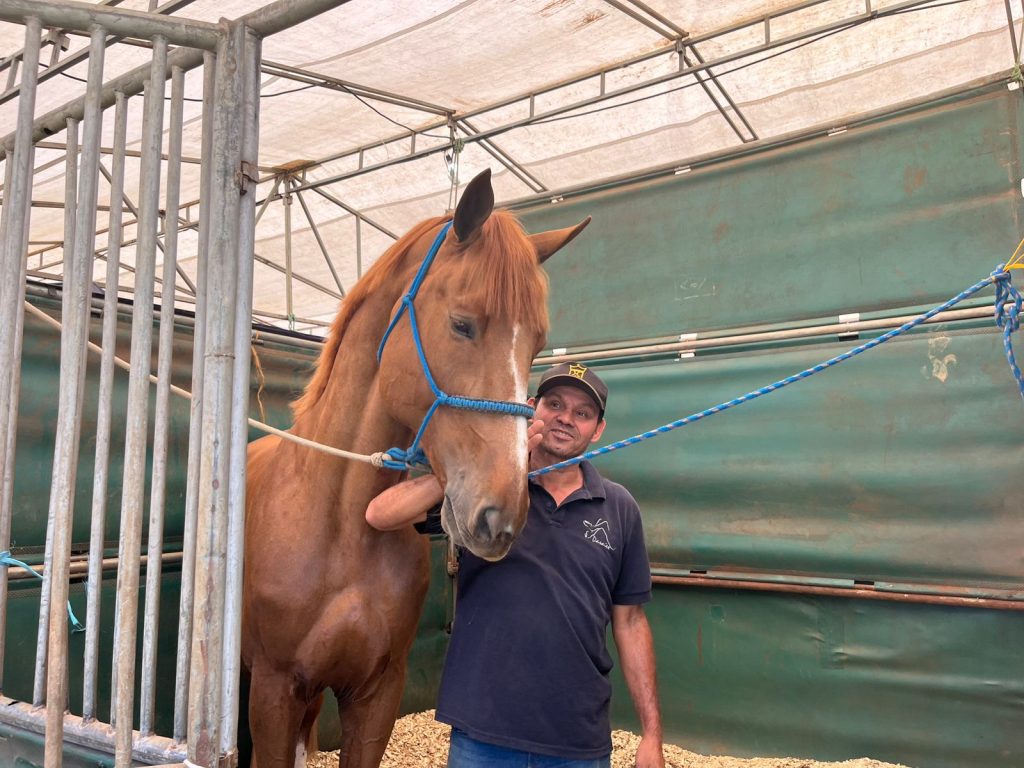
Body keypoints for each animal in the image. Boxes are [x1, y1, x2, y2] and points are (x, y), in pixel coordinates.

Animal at [241, 168, 590, 768]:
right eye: (462, 325)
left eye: (536, 343)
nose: (501, 516)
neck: (342, 527)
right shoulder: (273, 689)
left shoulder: (377, 693)